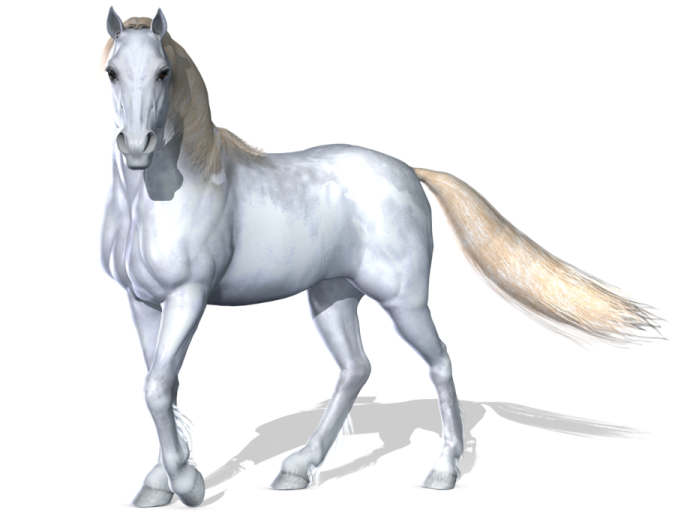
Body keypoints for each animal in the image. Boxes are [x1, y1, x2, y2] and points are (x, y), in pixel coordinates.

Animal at [95, 6, 669, 507]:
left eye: (163, 72)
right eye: (112, 71)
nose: (138, 147)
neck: (162, 197)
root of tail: (409, 172)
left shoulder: (187, 298)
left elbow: (157, 386)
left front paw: (186, 485)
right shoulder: (141, 302)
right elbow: (159, 385)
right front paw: (159, 484)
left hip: (402, 302)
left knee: (439, 363)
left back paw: (441, 472)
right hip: (332, 297)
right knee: (355, 369)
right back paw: (298, 468)